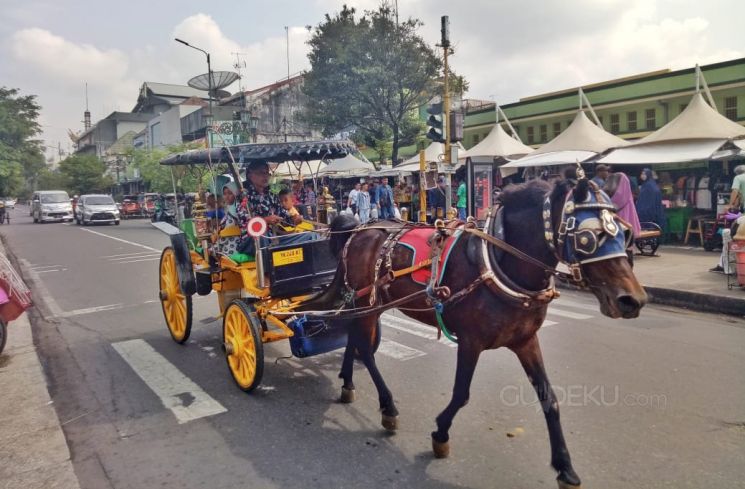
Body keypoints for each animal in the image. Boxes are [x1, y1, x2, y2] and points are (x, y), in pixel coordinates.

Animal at [302, 174, 644, 484]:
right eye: (587, 237)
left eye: (625, 232)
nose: (633, 300)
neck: (499, 264)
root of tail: (359, 229)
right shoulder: (470, 341)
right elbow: (461, 393)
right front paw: (440, 433)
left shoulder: (525, 340)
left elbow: (550, 398)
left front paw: (564, 466)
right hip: (367, 300)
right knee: (365, 347)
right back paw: (387, 405)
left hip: (369, 302)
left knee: (354, 337)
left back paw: (348, 383)